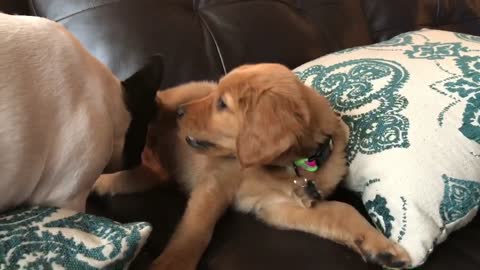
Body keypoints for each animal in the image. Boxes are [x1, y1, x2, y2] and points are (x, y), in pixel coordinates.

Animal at [94, 63, 412, 270]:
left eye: (222, 104)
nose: (180, 113)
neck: (287, 167)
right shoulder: (215, 185)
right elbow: (196, 230)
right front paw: (172, 264)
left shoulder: (277, 207)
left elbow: (341, 211)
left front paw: (382, 247)